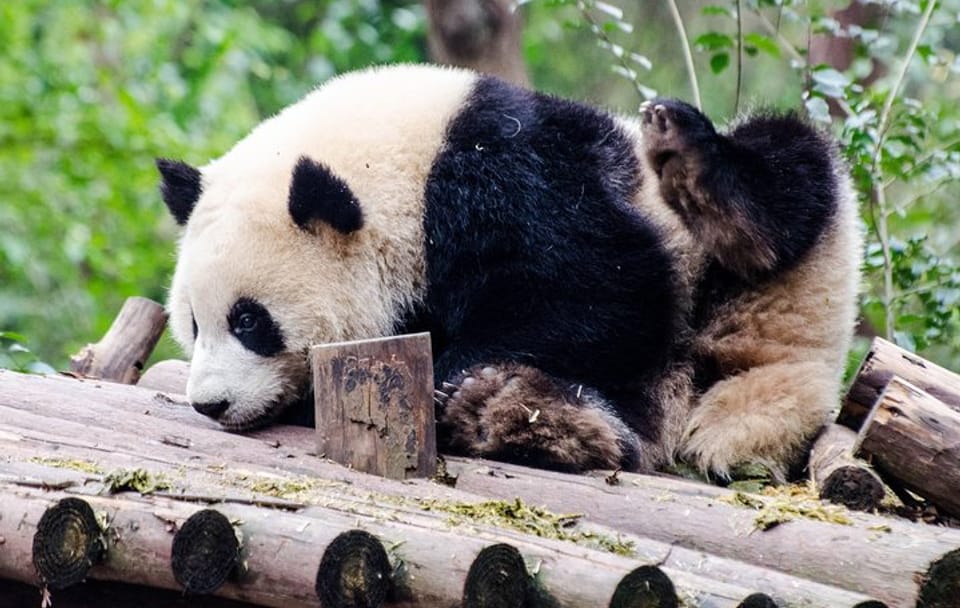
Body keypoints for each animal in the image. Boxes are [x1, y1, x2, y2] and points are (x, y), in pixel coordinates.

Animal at [158, 64, 861, 480]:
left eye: (250, 321)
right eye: (192, 325)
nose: (211, 403)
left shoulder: (508, 174)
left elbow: (603, 290)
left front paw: (454, 369)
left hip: (777, 262)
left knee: (788, 175)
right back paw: (517, 414)